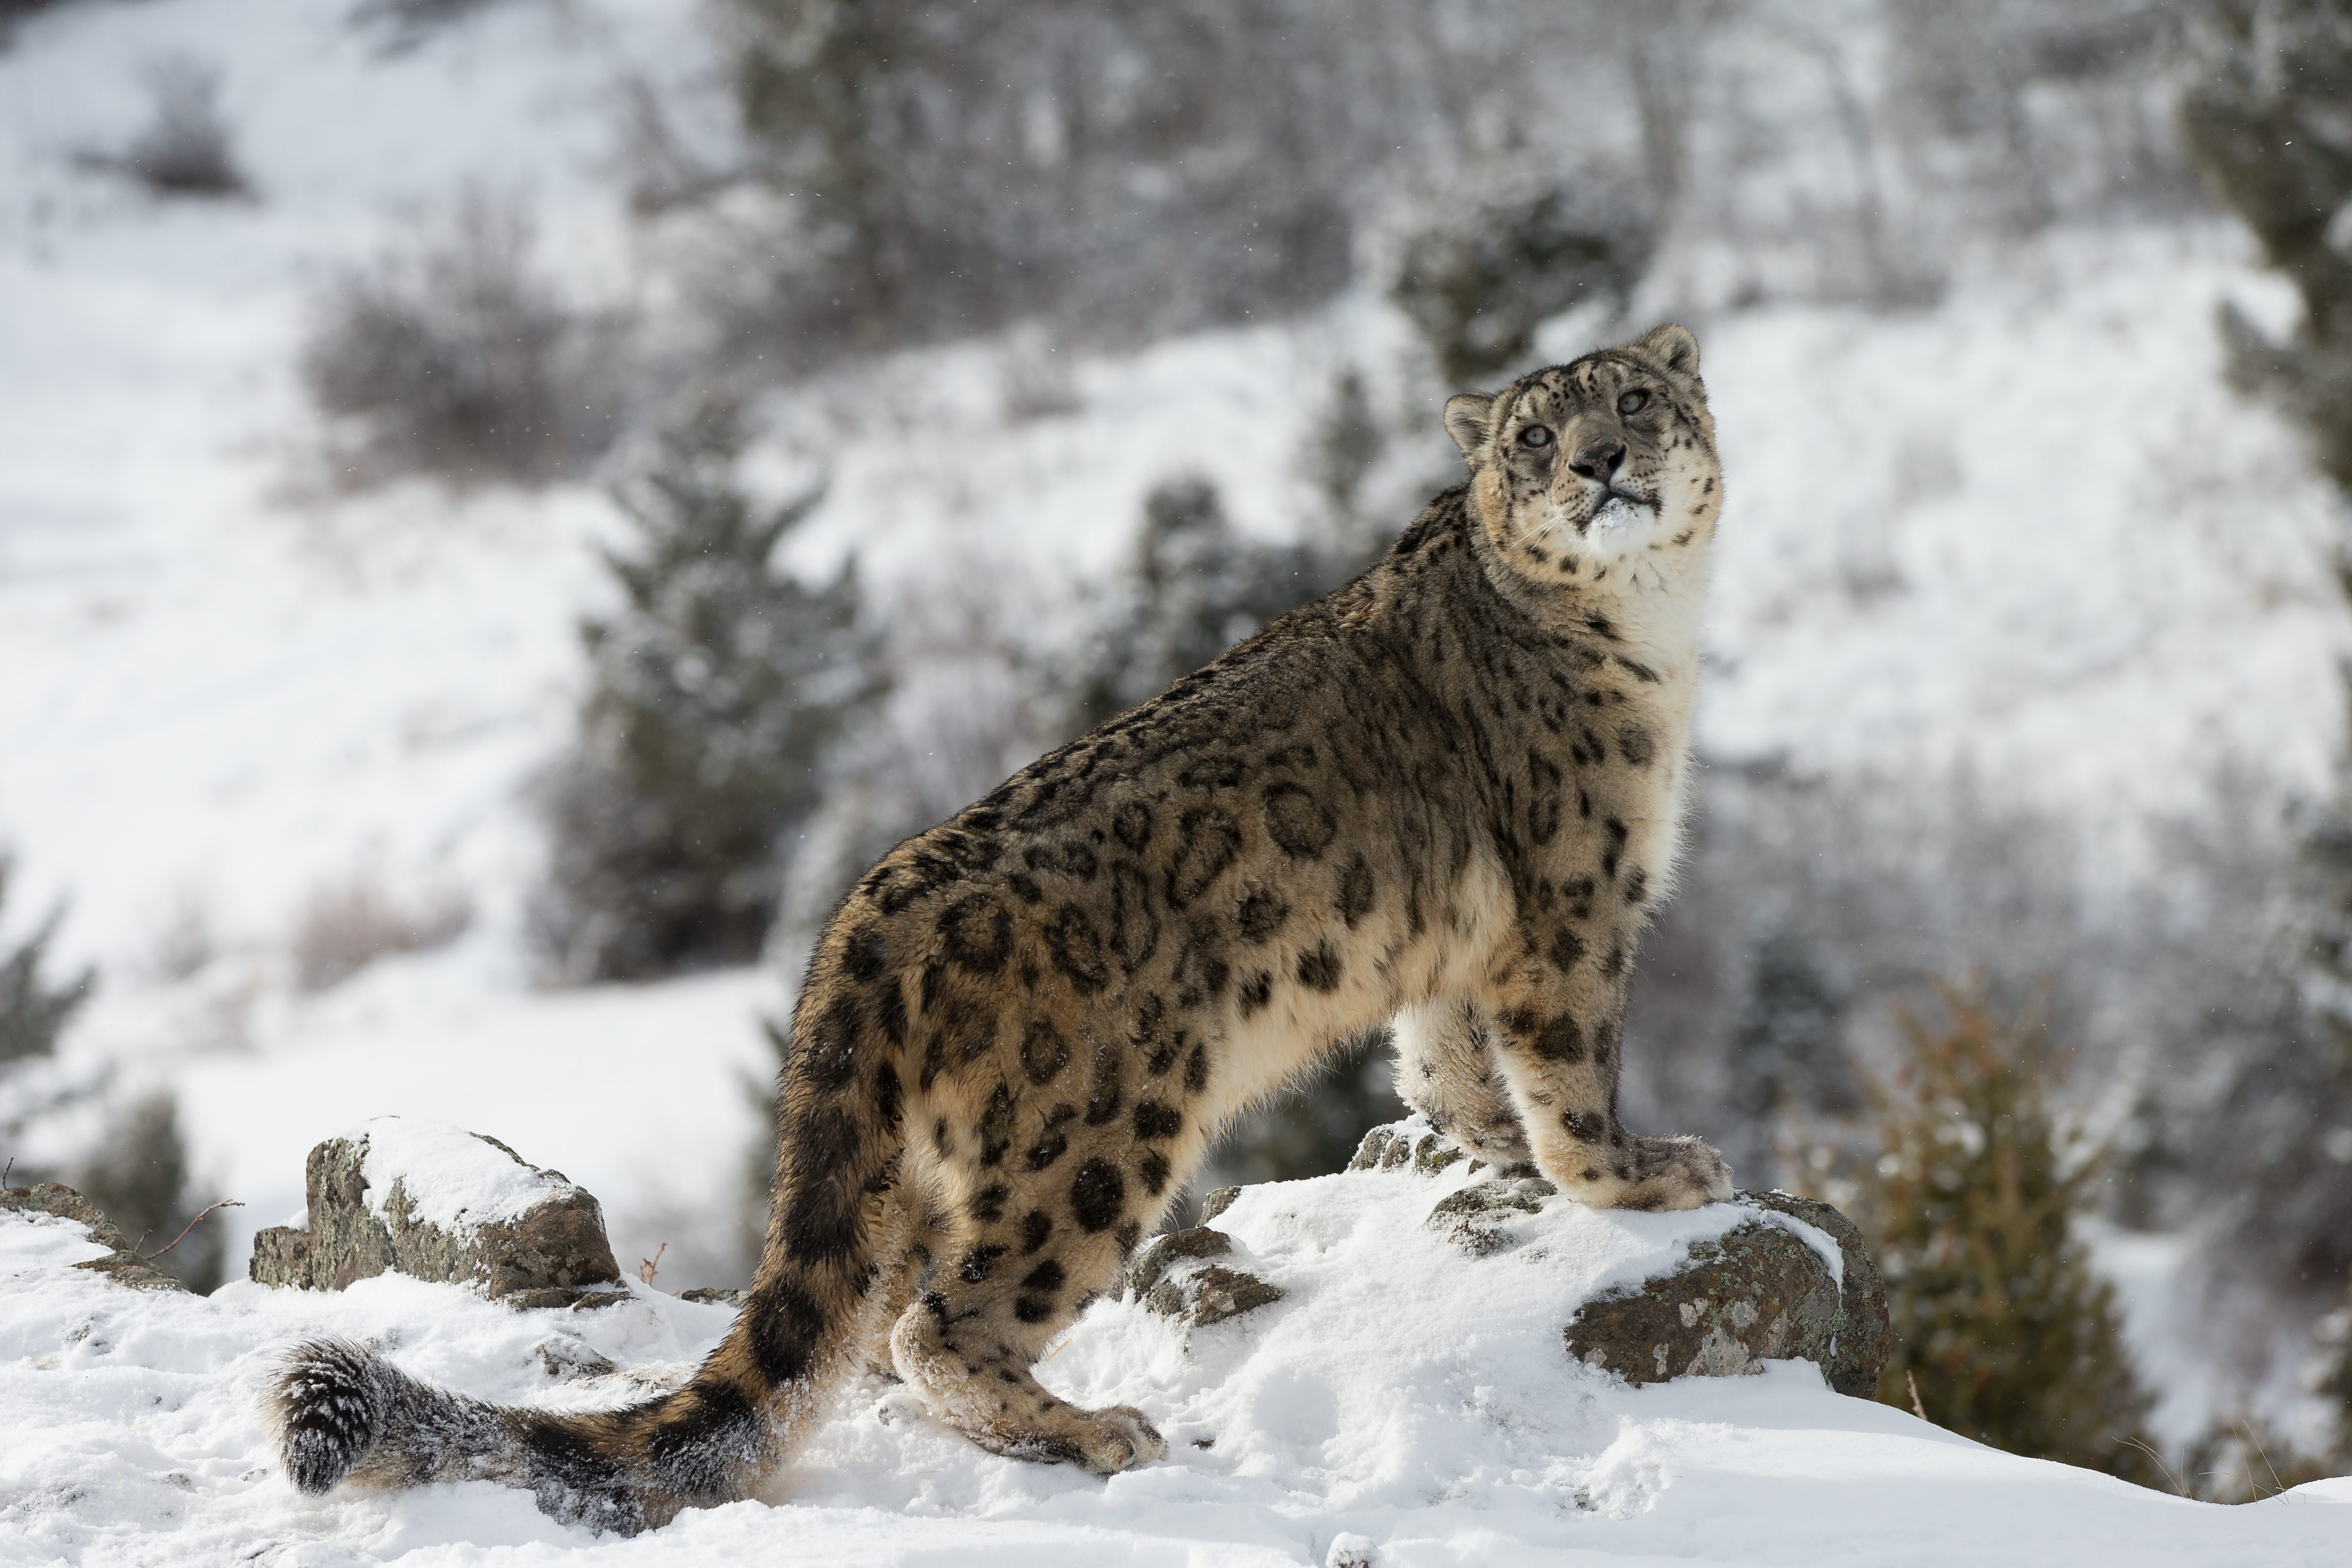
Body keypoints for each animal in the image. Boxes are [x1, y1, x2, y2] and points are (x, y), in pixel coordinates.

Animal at [266, 321, 1734, 1534]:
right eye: (1535, 437)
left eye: (1632, 401)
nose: (1599, 462)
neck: (1652, 638)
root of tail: (862, 921)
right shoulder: (1572, 902)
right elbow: (1567, 1065)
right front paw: (1638, 1174)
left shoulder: (1454, 945)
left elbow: (1442, 1061)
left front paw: (1489, 1150)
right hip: (1093, 1134)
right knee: (941, 1324)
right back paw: (1097, 1430)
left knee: (875, 1326)